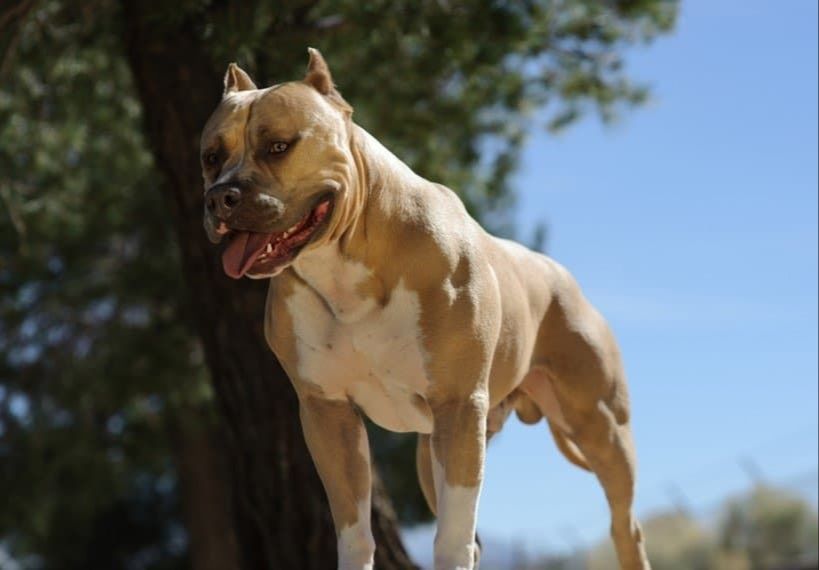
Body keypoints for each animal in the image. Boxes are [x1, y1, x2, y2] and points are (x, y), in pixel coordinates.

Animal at [200, 50, 652, 568]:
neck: (344, 267)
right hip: (436, 449)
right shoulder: (328, 414)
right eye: (210, 156)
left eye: (278, 146)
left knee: (624, 525)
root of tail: (561, 275)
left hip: (600, 428)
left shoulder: (458, 406)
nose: (221, 197)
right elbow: (355, 530)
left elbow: (452, 537)